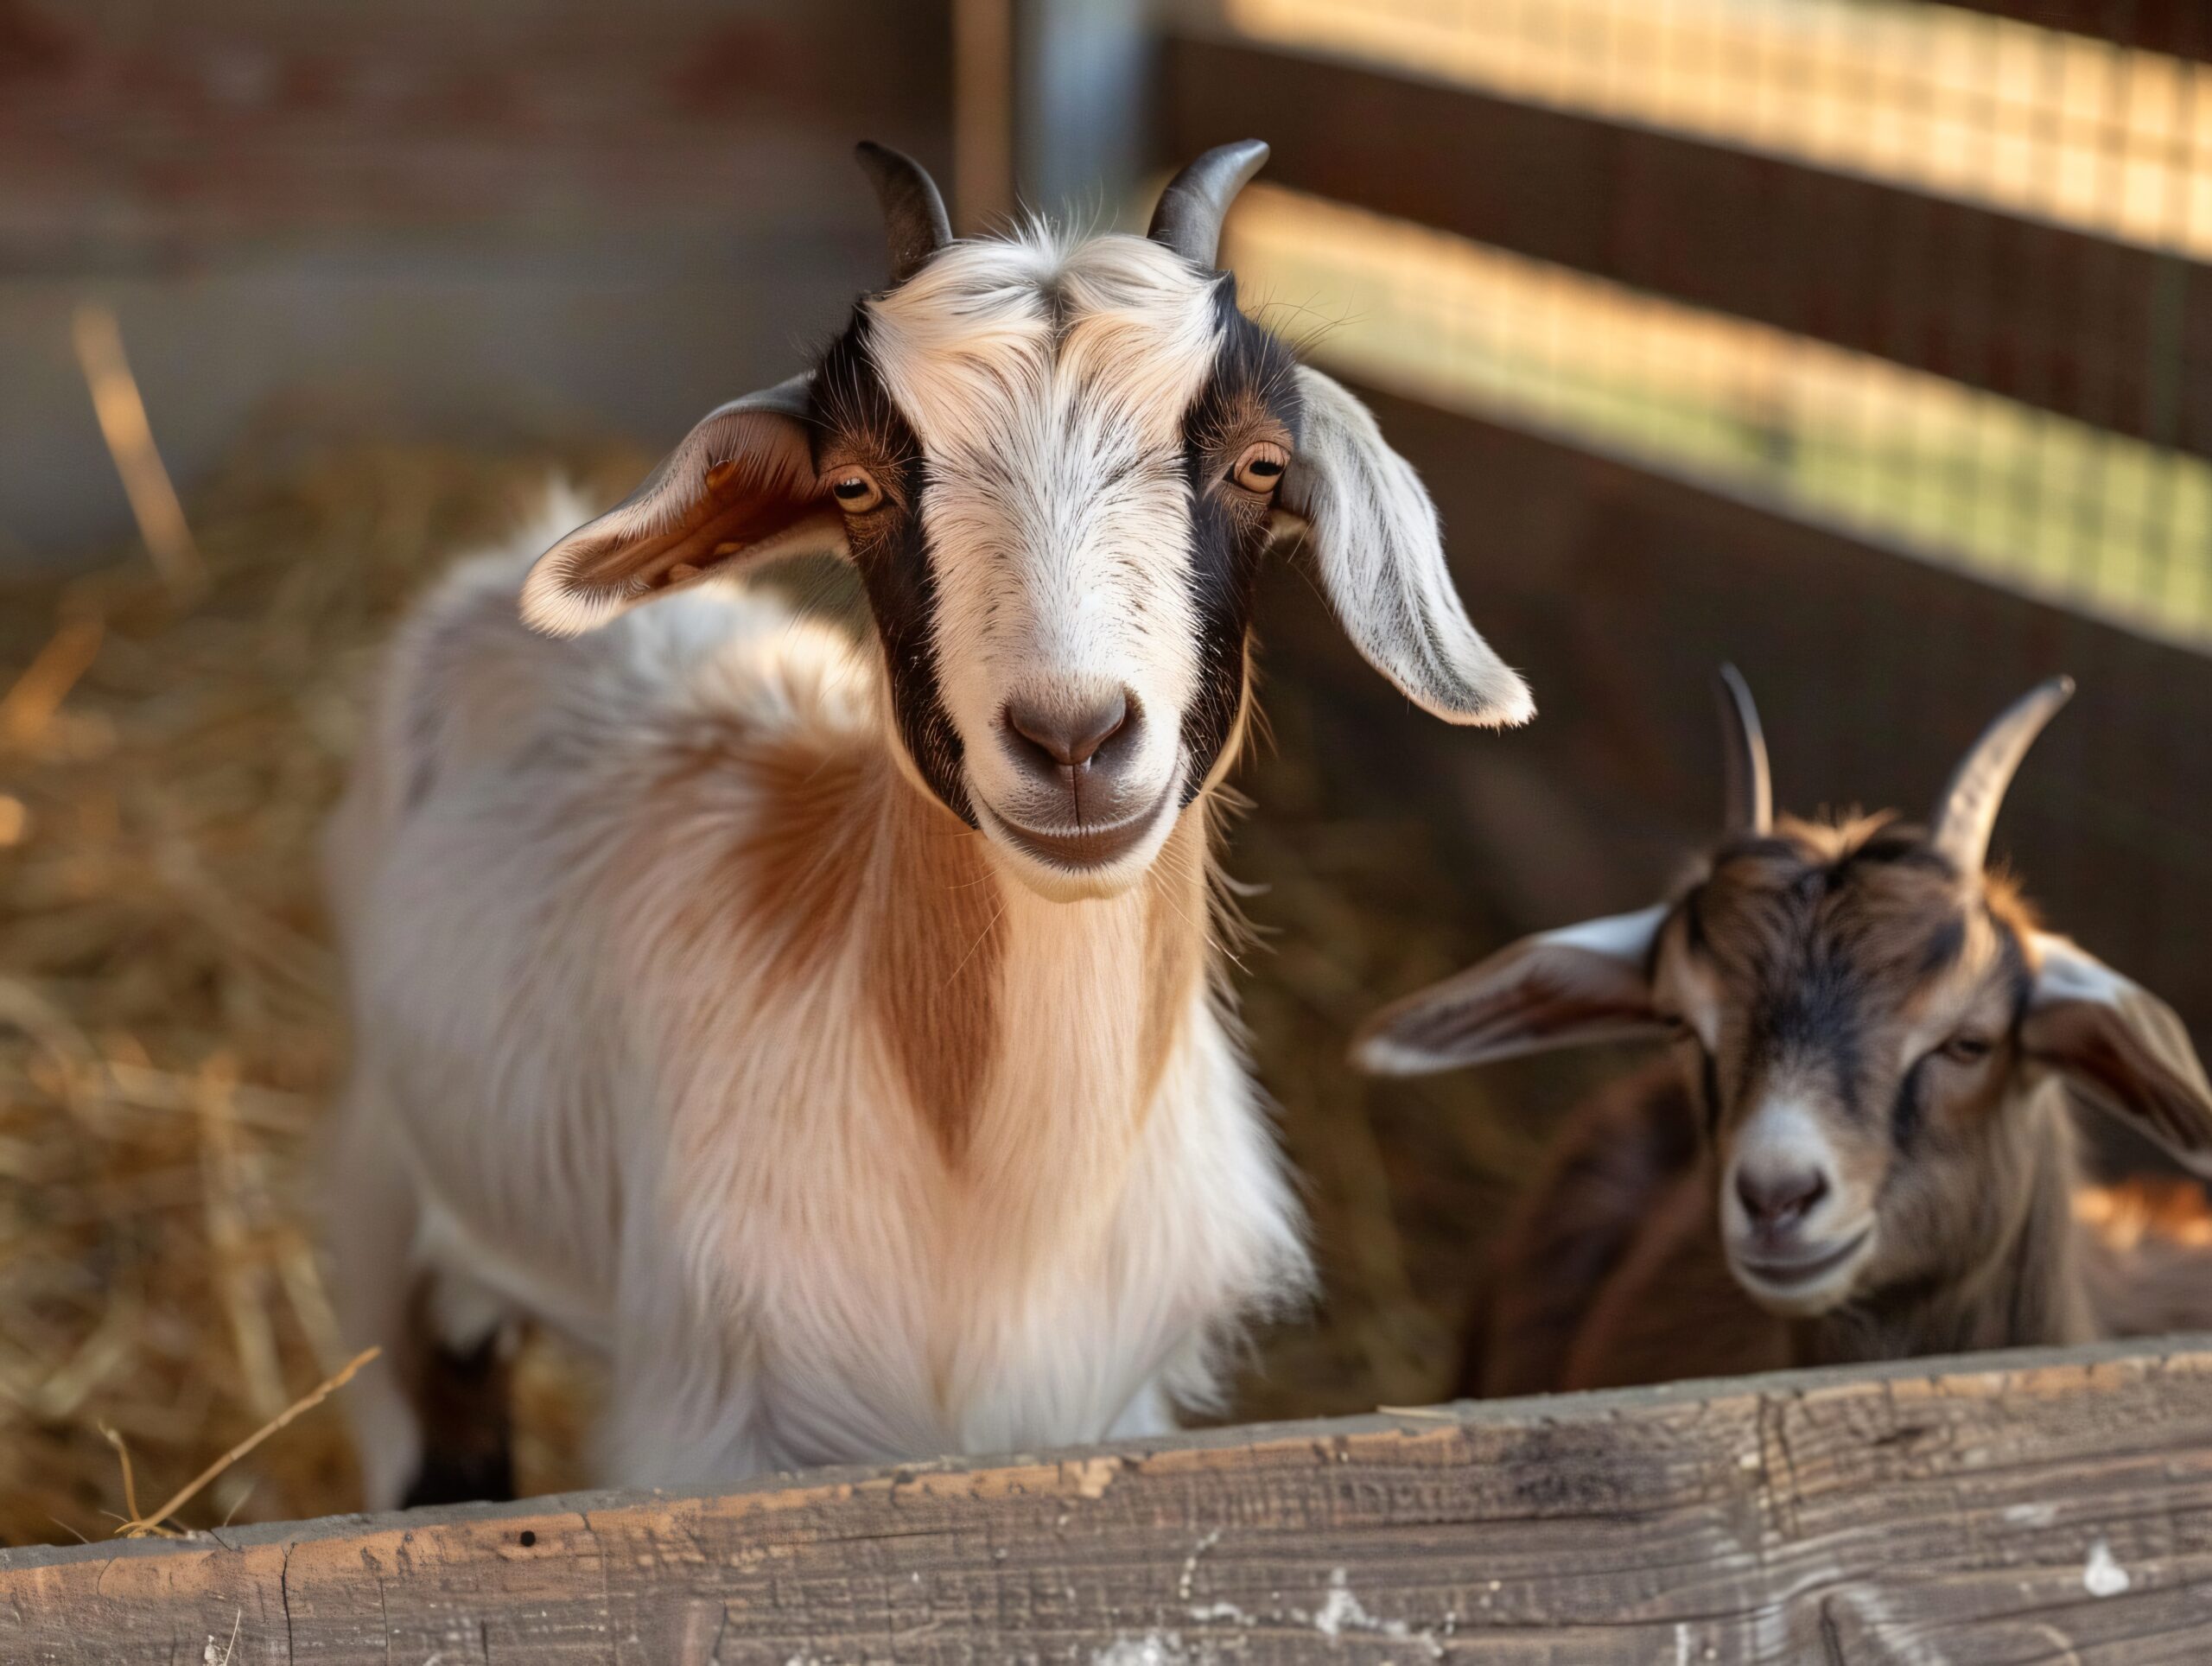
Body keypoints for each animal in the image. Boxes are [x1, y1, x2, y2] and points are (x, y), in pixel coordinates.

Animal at [323, 141, 1534, 1507]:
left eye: (1261, 464)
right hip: (382, 1199)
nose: (1073, 738)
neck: (1008, 1226)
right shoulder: (712, 1426)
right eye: (857, 483)